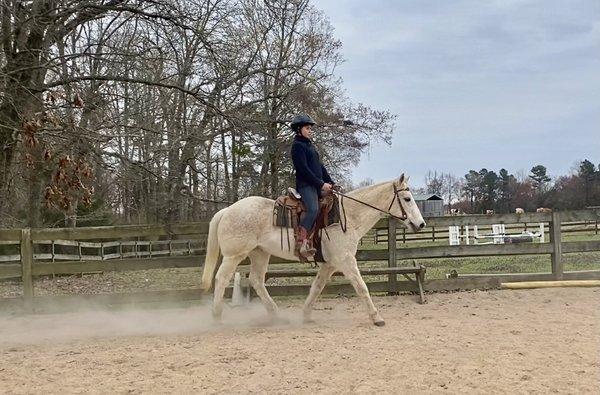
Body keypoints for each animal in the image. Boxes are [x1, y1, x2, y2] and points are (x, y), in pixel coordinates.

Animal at [202, 175, 426, 326]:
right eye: (407, 199)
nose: (421, 224)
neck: (347, 216)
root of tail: (228, 210)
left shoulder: (330, 264)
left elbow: (316, 287)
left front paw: (306, 314)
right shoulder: (346, 260)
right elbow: (362, 287)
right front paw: (377, 317)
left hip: (260, 253)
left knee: (256, 280)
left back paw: (275, 314)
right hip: (234, 256)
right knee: (221, 279)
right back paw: (216, 316)